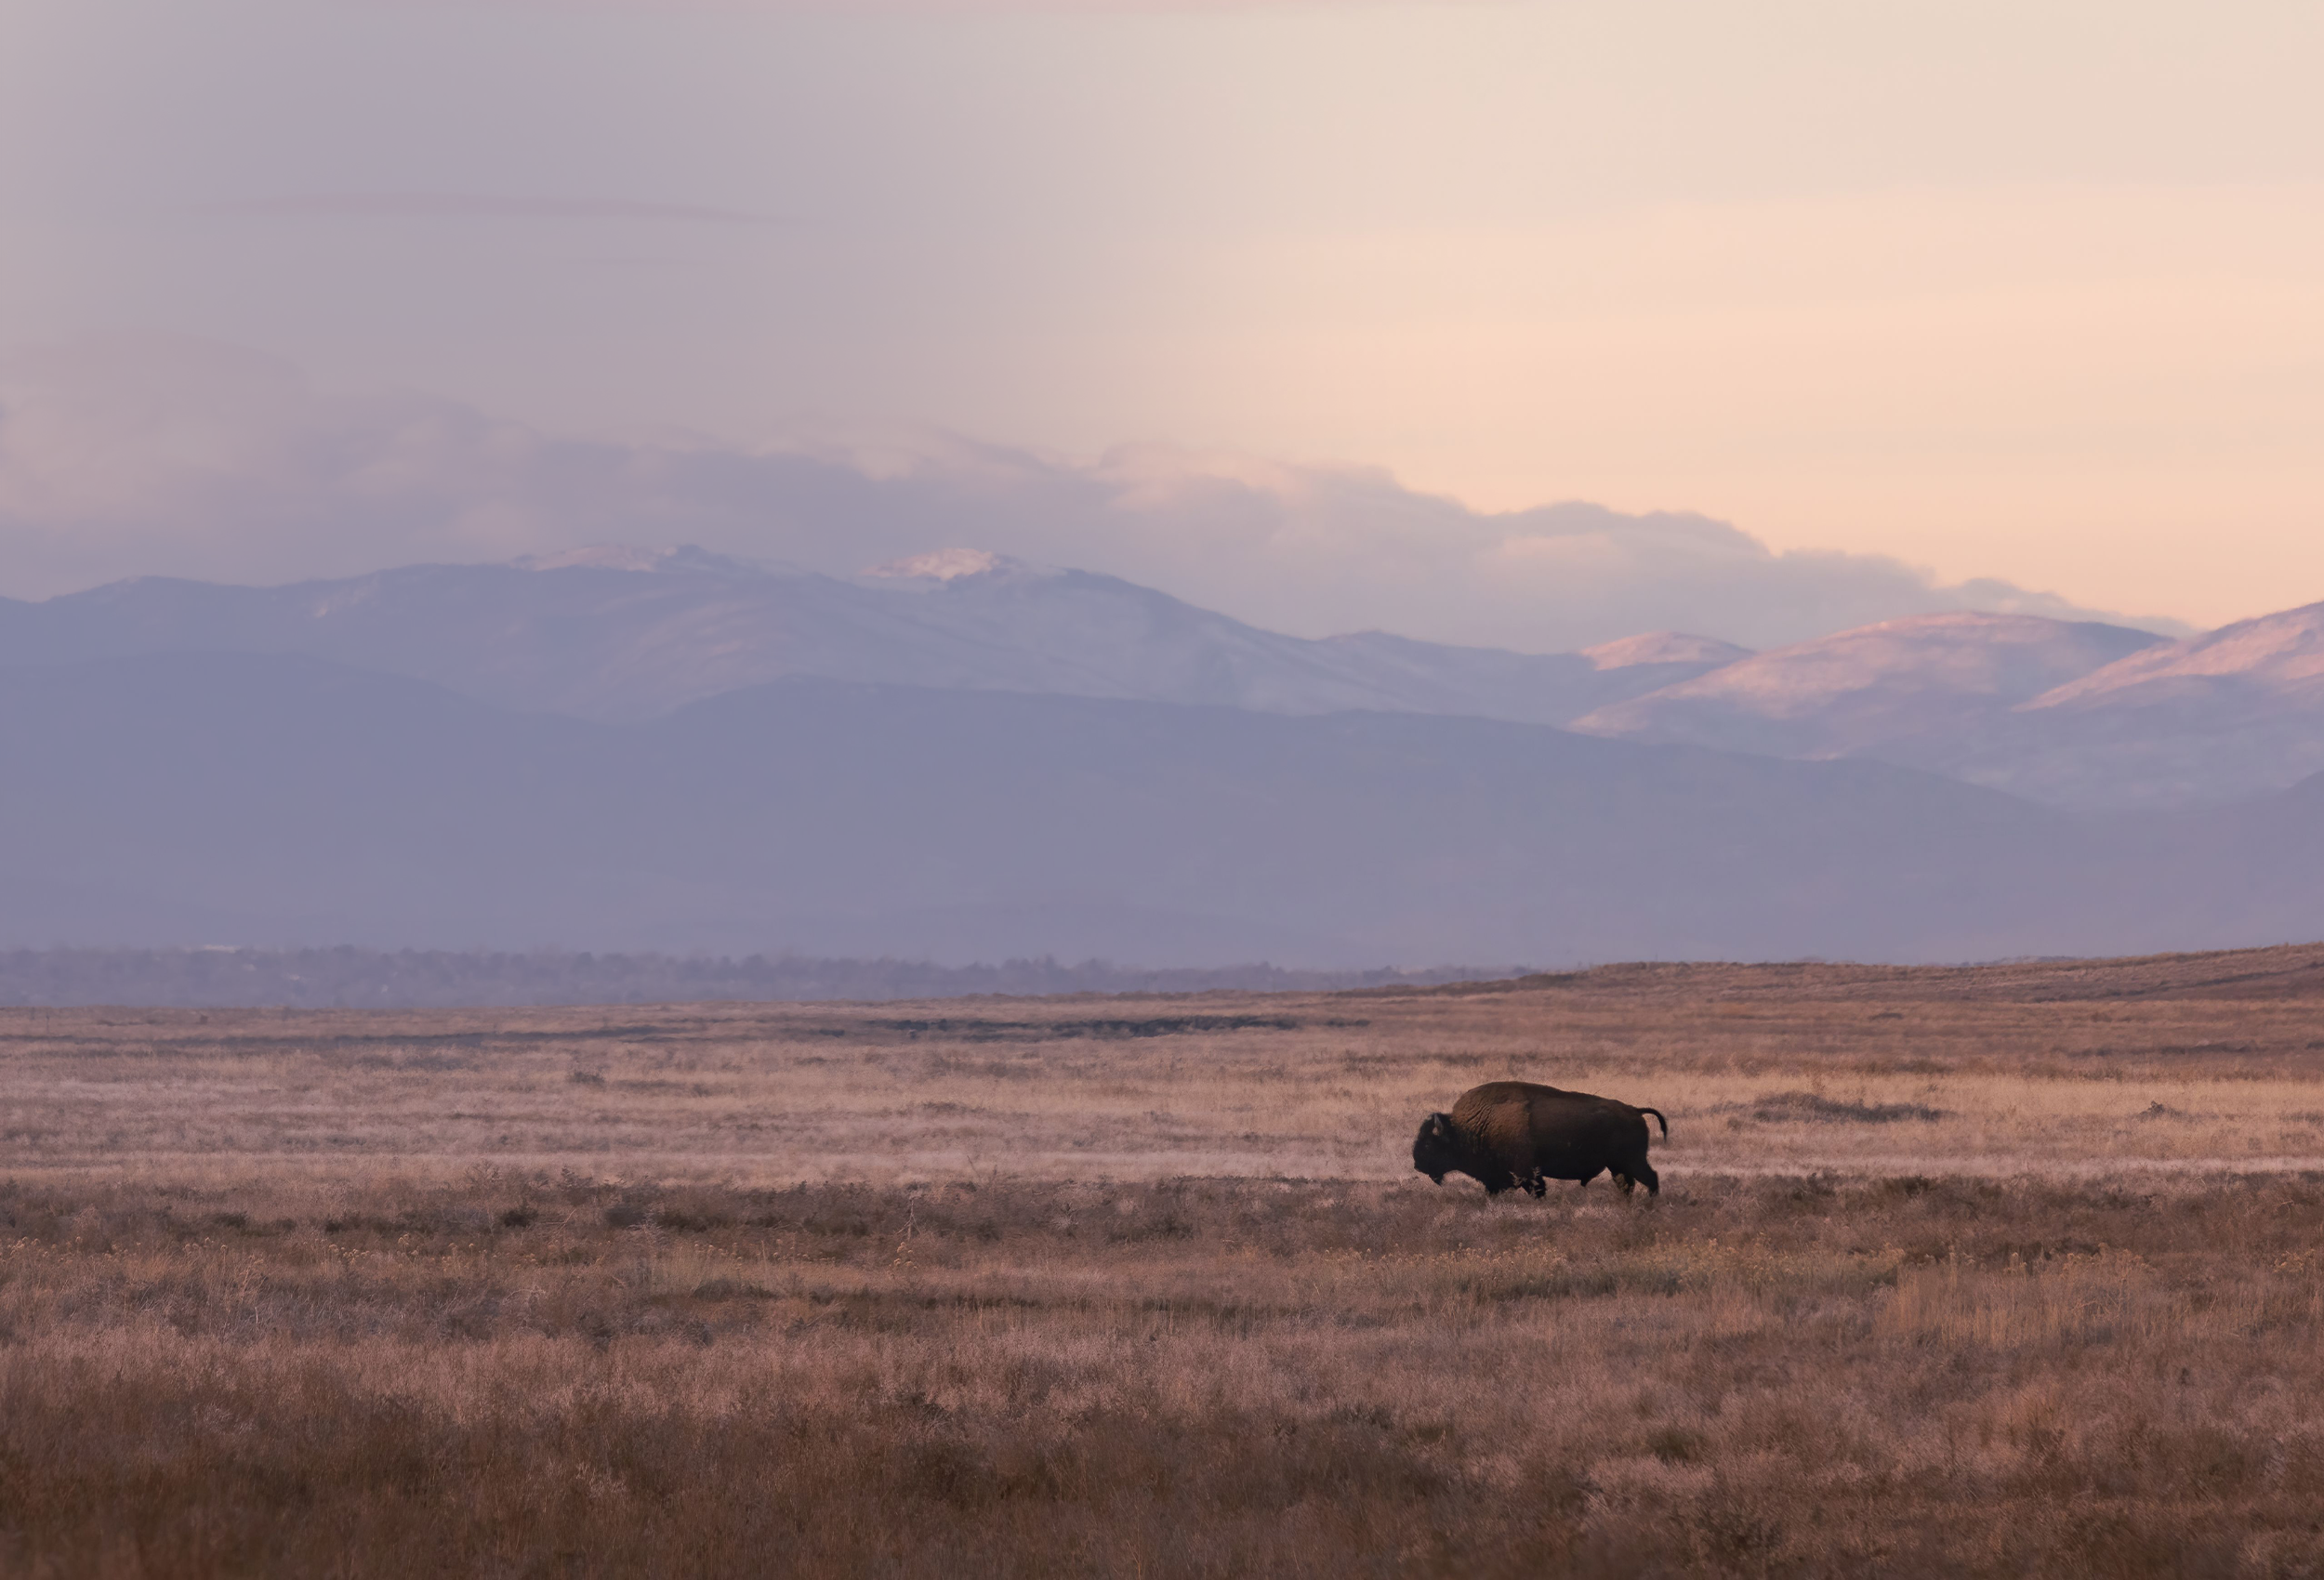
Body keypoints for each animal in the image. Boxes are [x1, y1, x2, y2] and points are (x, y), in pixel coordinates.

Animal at [1412, 1081, 1668, 1198]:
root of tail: (1635, 1110)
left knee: (1650, 1178)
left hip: (1633, 1161)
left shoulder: (1528, 1174)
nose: (1417, 1164)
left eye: (1429, 1144)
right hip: (1617, 1165)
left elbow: (1538, 1191)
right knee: (1628, 1184)